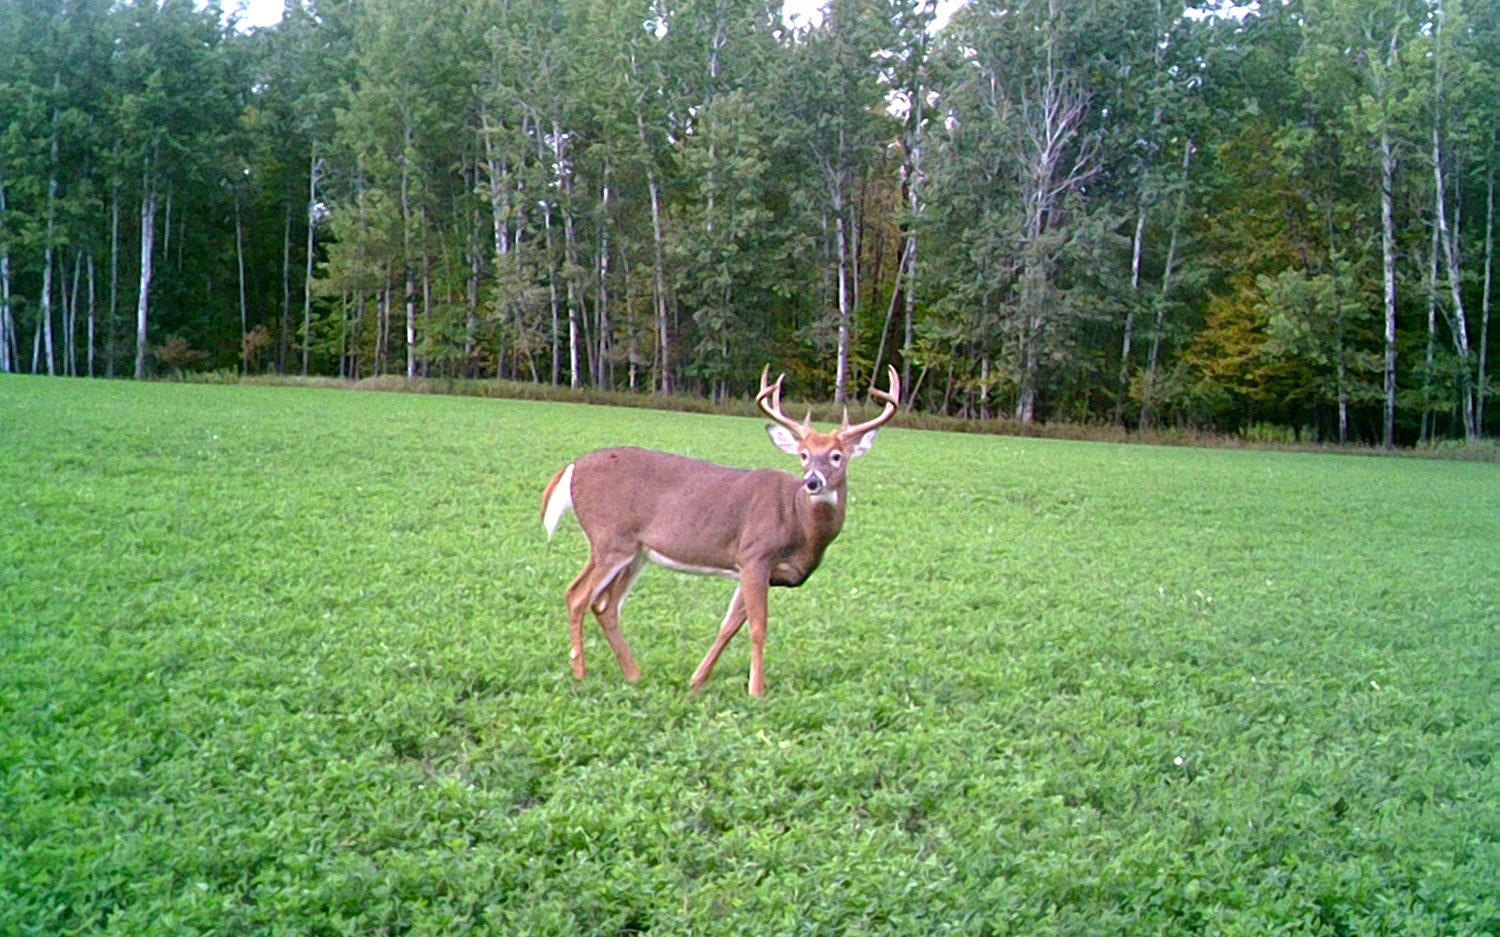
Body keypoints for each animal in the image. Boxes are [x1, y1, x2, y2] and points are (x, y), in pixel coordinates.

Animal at [543, 365, 900, 695]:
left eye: (837, 456)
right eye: (804, 455)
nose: (813, 481)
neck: (799, 525)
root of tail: (572, 467)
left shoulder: (752, 568)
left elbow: (729, 625)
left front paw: (697, 679)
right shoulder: (755, 554)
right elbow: (758, 627)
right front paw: (757, 690)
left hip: (636, 552)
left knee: (605, 605)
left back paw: (634, 674)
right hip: (609, 539)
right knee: (577, 595)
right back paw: (581, 673)